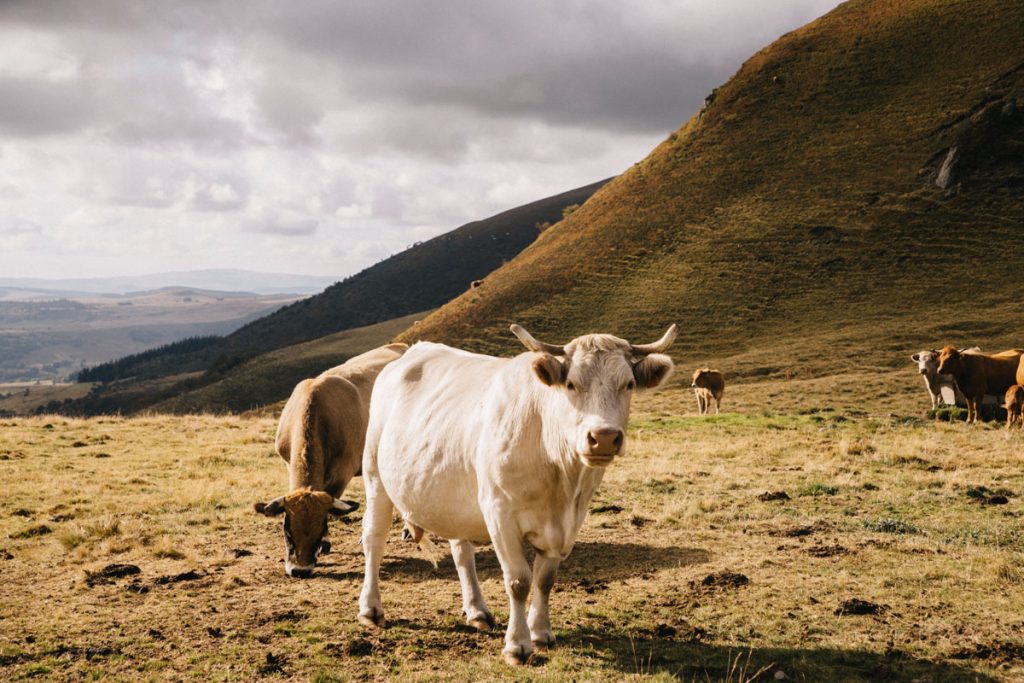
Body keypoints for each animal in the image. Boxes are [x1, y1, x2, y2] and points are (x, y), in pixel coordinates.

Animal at [357, 324, 677, 665]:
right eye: (571, 384)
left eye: (629, 384)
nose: (603, 437)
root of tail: (412, 352)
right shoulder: (500, 513)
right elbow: (519, 580)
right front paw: (518, 644)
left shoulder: (569, 522)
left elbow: (545, 579)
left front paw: (541, 633)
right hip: (375, 477)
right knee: (374, 538)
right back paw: (371, 608)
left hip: (453, 495)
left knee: (461, 551)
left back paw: (477, 610)